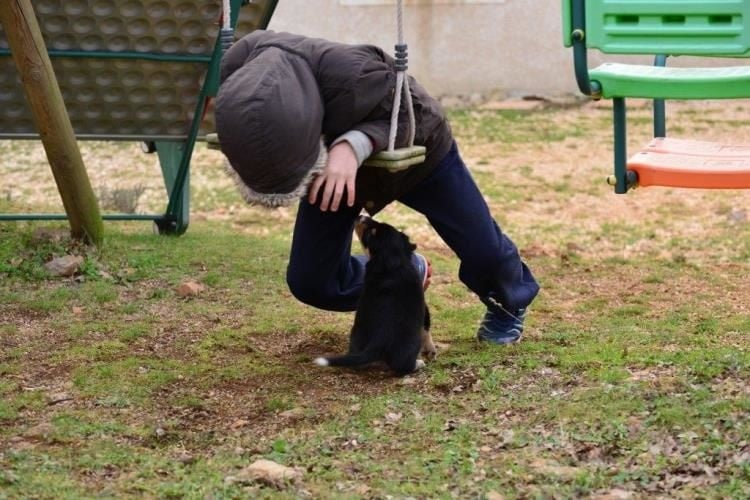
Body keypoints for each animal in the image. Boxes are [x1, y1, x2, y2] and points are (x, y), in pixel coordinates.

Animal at [316, 215, 434, 376]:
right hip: (409, 342)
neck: (393, 263)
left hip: (357, 335)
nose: (361, 216)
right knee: (402, 365)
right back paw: (418, 363)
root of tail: (380, 338)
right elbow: (426, 328)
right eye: (372, 231)